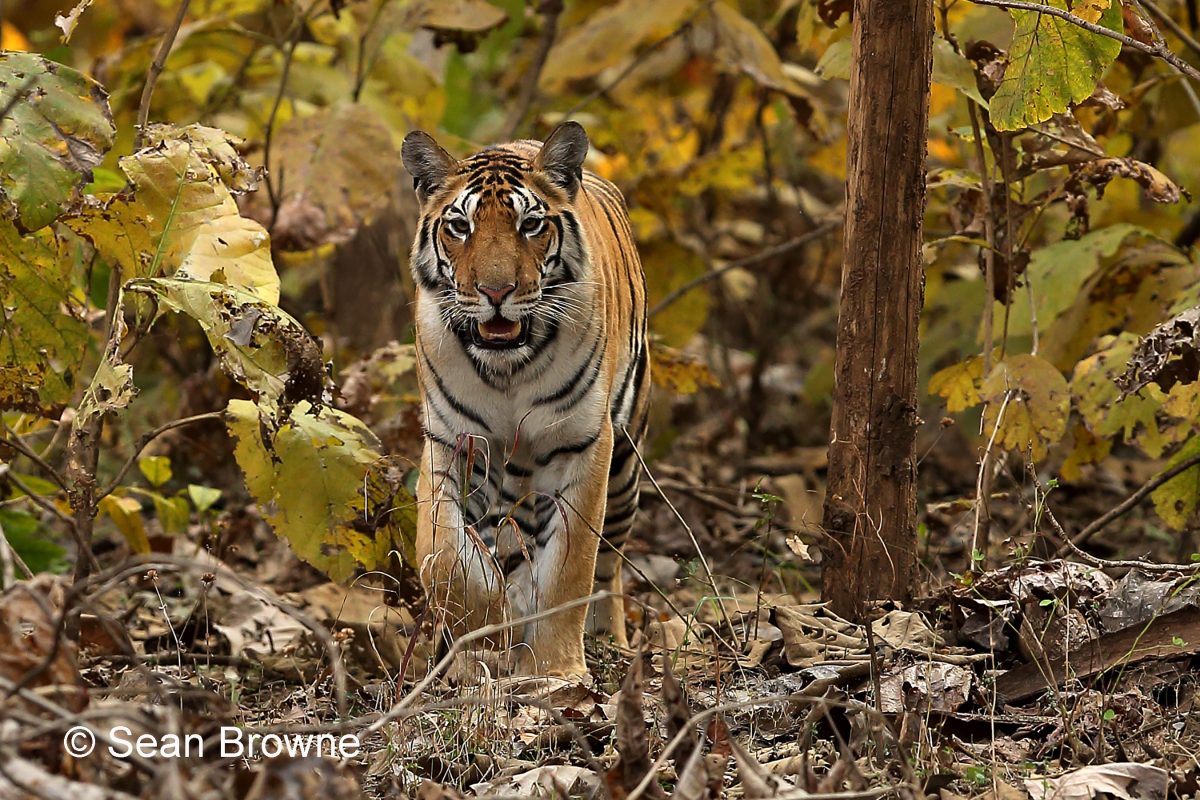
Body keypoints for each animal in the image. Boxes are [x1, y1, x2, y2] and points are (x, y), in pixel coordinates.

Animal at [400, 122, 648, 681]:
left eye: (530, 224)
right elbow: (442, 553)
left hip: (626, 466)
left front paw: (558, 669)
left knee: (609, 566)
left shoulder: (583, 444)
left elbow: (571, 568)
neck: (507, 369)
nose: (496, 291)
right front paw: (486, 633)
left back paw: (610, 640)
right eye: (460, 226)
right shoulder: (451, 441)